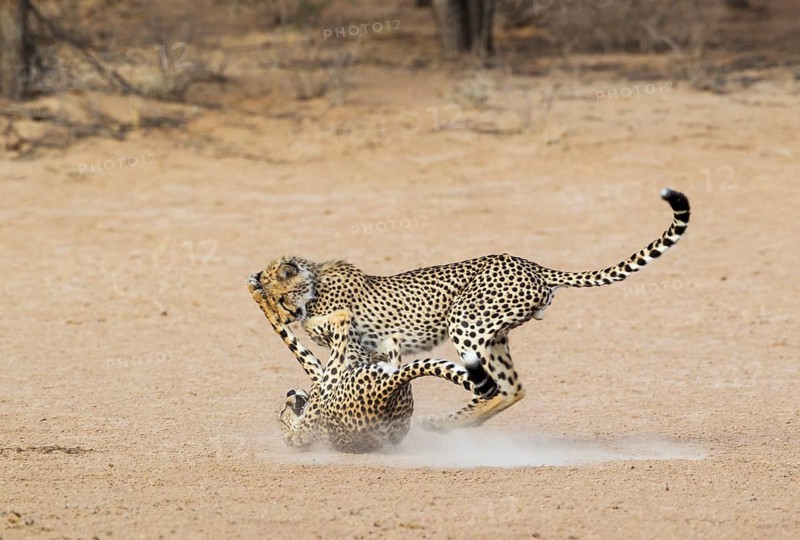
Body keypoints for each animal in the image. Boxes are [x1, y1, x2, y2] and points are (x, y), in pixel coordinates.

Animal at [247, 277, 492, 453]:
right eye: (282, 412)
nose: (291, 393)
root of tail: (385, 393)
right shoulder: (321, 383)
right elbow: (288, 338)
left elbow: (285, 334)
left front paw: (258, 290)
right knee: (349, 330)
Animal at [250, 188, 691, 430]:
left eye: (282, 299)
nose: (286, 315)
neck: (314, 285)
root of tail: (529, 264)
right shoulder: (370, 353)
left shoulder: (357, 347)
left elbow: (328, 366)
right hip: (494, 336)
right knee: (512, 388)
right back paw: (451, 424)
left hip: (464, 322)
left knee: (495, 385)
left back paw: (447, 422)